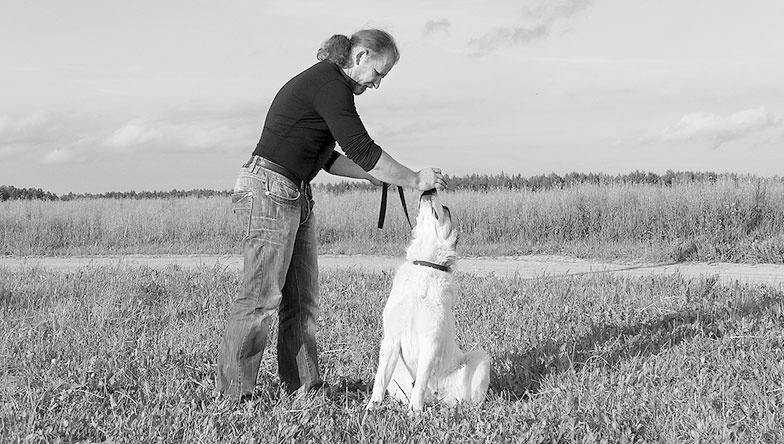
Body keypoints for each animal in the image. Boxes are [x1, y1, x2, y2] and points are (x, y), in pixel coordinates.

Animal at [366, 188, 490, 412]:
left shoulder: (430, 340)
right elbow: (379, 381)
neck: (425, 265)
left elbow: (421, 381)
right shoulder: (390, 340)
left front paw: (414, 412)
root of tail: (437, 399)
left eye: (446, 209)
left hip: (481, 358)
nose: (429, 189)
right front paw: (371, 409)